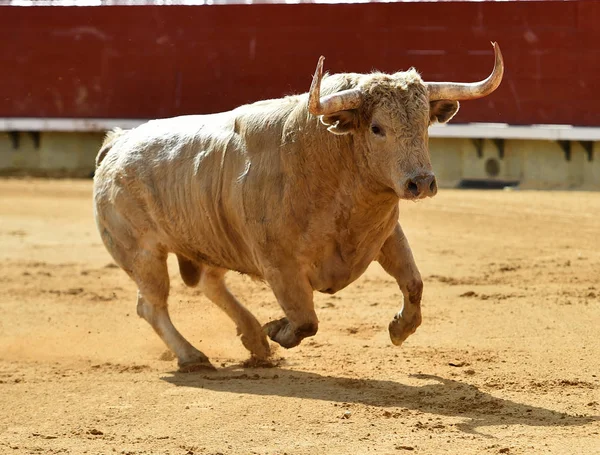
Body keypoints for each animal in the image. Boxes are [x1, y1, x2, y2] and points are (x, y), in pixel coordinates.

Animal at [94, 42, 504, 372]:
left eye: (424, 125)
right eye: (376, 128)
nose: (421, 183)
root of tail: (118, 142)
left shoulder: (386, 234)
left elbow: (414, 282)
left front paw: (399, 329)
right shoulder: (278, 263)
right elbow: (306, 319)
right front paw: (278, 329)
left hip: (211, 238)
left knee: (210, 283)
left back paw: (254, 340)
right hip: (142, 253)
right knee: (152, 306)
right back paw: (195, 356)